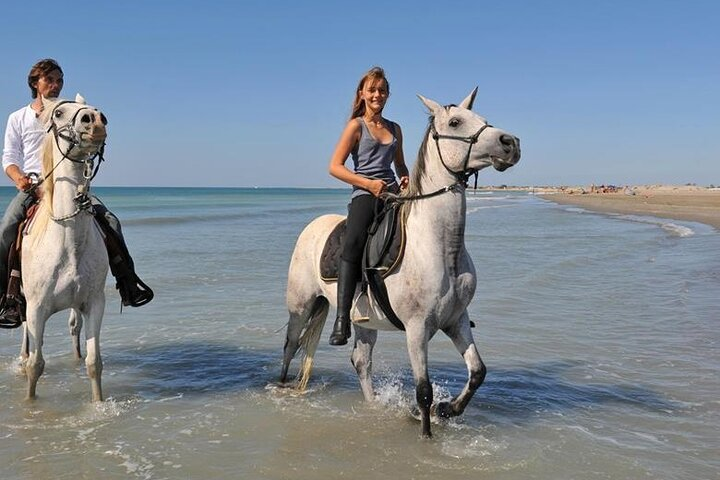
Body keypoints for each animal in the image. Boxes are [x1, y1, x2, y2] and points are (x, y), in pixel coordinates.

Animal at [20, 94, 109, 402]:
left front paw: (98, 404)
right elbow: (36, 365)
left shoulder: (94, 303)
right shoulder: (36, 308)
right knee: (26, 337)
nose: (95, 120)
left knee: (74, 328)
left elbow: (94, 363)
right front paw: (30, 403)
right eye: (59, 113)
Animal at [278, 88, 520, 436]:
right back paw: (282, 388)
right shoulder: (417, 328)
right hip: (301, 305)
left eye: (483, 119)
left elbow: (478, 372)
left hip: (364, 321)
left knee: (361, 361)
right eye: (456, 122)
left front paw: (447, 409)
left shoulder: (456, 320)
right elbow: (423, 390)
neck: (440, 248)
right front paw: (427, 432)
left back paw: (373, 405)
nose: (511, 143)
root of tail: (312, 226)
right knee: (291, 345)